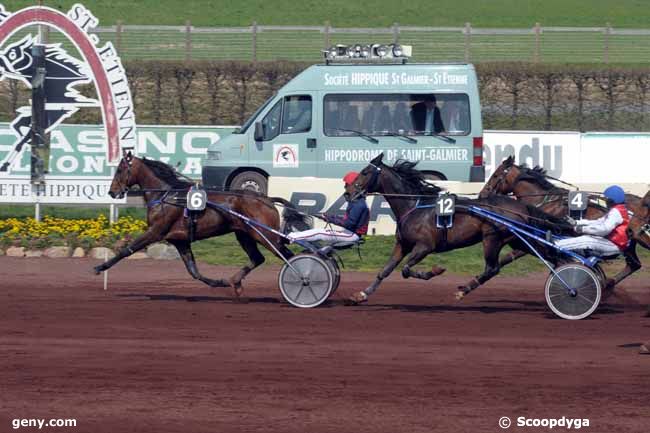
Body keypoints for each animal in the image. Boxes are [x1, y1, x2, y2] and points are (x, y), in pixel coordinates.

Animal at [93, 150, 308, 296]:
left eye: (120, 169)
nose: (112, 192)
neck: (166, 196)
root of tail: (267, 199)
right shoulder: (180, 240)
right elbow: (193, 271)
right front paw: (220, 282)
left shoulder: (155, 231)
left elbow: (126, 250)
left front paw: (100, 267)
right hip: (244, 234)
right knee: (258, 258)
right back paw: (235, 282)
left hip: (265, 235)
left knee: (288, 256)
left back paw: (304, 280)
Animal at [344, 154, 568, 302]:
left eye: (365, 172)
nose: (348, 193)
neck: (414, 206)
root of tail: (522, 205)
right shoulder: (402, 245)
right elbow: (385, 270)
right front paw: (362, 294)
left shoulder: (424, 246)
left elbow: (406, 269)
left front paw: (435, 270)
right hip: (517, 240)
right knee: (547, 256)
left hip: (492, 239)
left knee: (492, 268)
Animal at [476, 155, 648, 290]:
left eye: (496, 175)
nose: (481, 195)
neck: (545, 201)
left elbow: (507, 257)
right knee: (634, 264)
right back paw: (608, 283)